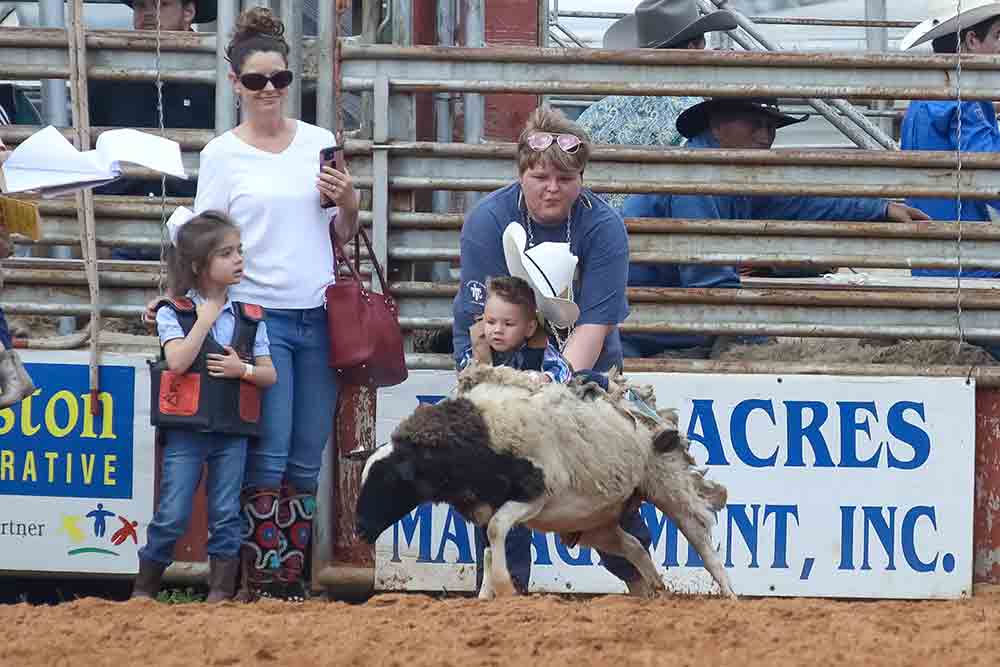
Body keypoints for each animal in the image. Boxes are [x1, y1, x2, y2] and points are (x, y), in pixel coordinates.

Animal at [354, 366, 736, 600]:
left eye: (388, 481)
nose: (359, 530)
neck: (481, 434)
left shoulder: (534, 496)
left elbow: (497, 531)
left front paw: (506, 589)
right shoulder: (487, 505)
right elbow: (489, 547)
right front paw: (485, 597)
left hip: (670, 487)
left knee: (704, 546)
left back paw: (729, 597)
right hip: (593, 522)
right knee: (634, 547)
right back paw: (655, 588)